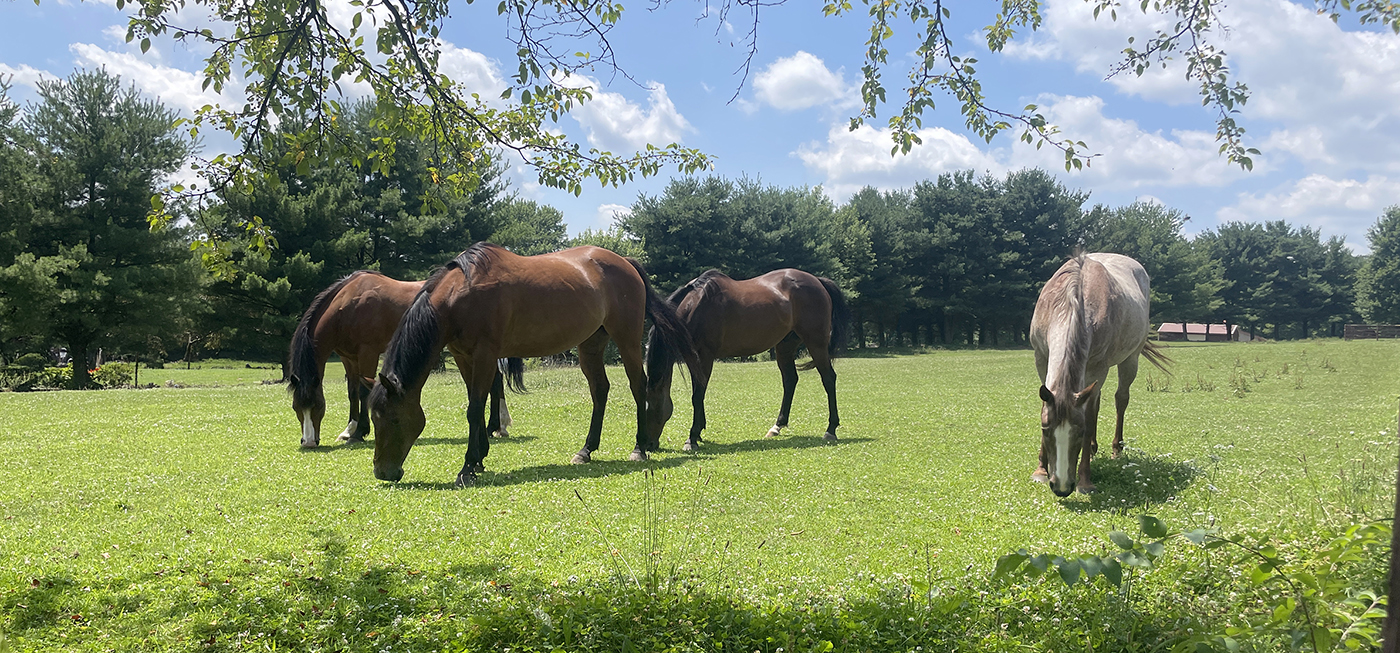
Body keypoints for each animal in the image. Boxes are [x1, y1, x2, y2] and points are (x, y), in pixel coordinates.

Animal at [287, 270, 518, 448]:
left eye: (318, 406)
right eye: (296, 407)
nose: (308, 442)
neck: (347, 305)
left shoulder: (368, 352)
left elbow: (363, 392)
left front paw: (359, 432)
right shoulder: (348, 358)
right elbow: (352, 393)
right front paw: (349, 430)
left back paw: (496, 426)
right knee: (495, 382)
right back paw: (497, 425)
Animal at [366, 243, 694, 484]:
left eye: (393, 419)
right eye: (374, 418)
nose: (382, 472)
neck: (460, 295)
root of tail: (624, 262)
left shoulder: (485, 355)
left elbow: (474, 408)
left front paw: (467, 468)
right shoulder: (463, 357)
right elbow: (479, 404)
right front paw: (480, 458)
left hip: (626, 339)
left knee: (639, 387)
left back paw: (639, 447)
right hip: (590, 345)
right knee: (600, 390)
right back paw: (586, 450)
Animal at [644, 267, 851, 451]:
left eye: (651, 407)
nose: (649, 445)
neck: (696, 306)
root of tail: (817, 281)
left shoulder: (704, 357)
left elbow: (698, 395)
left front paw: (692, 437)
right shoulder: (693, 358)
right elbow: (698, 394)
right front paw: (699, 431)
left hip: (816, 343)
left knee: (828, 378)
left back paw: (831, 429)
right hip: (785, 346)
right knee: (790, 380)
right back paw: (777, 426)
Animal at [1030, 250, 1170, 496]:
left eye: (1079, 432)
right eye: (1046, 430)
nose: (1062, 487)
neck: (1070, 303)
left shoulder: (1098, 367)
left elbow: (1089, 418)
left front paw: (1085, 481)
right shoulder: (1041, 359)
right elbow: (1046, 407)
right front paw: (1040, 471)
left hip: (1129, 360)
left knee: (1120, 399)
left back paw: (1116, 450)